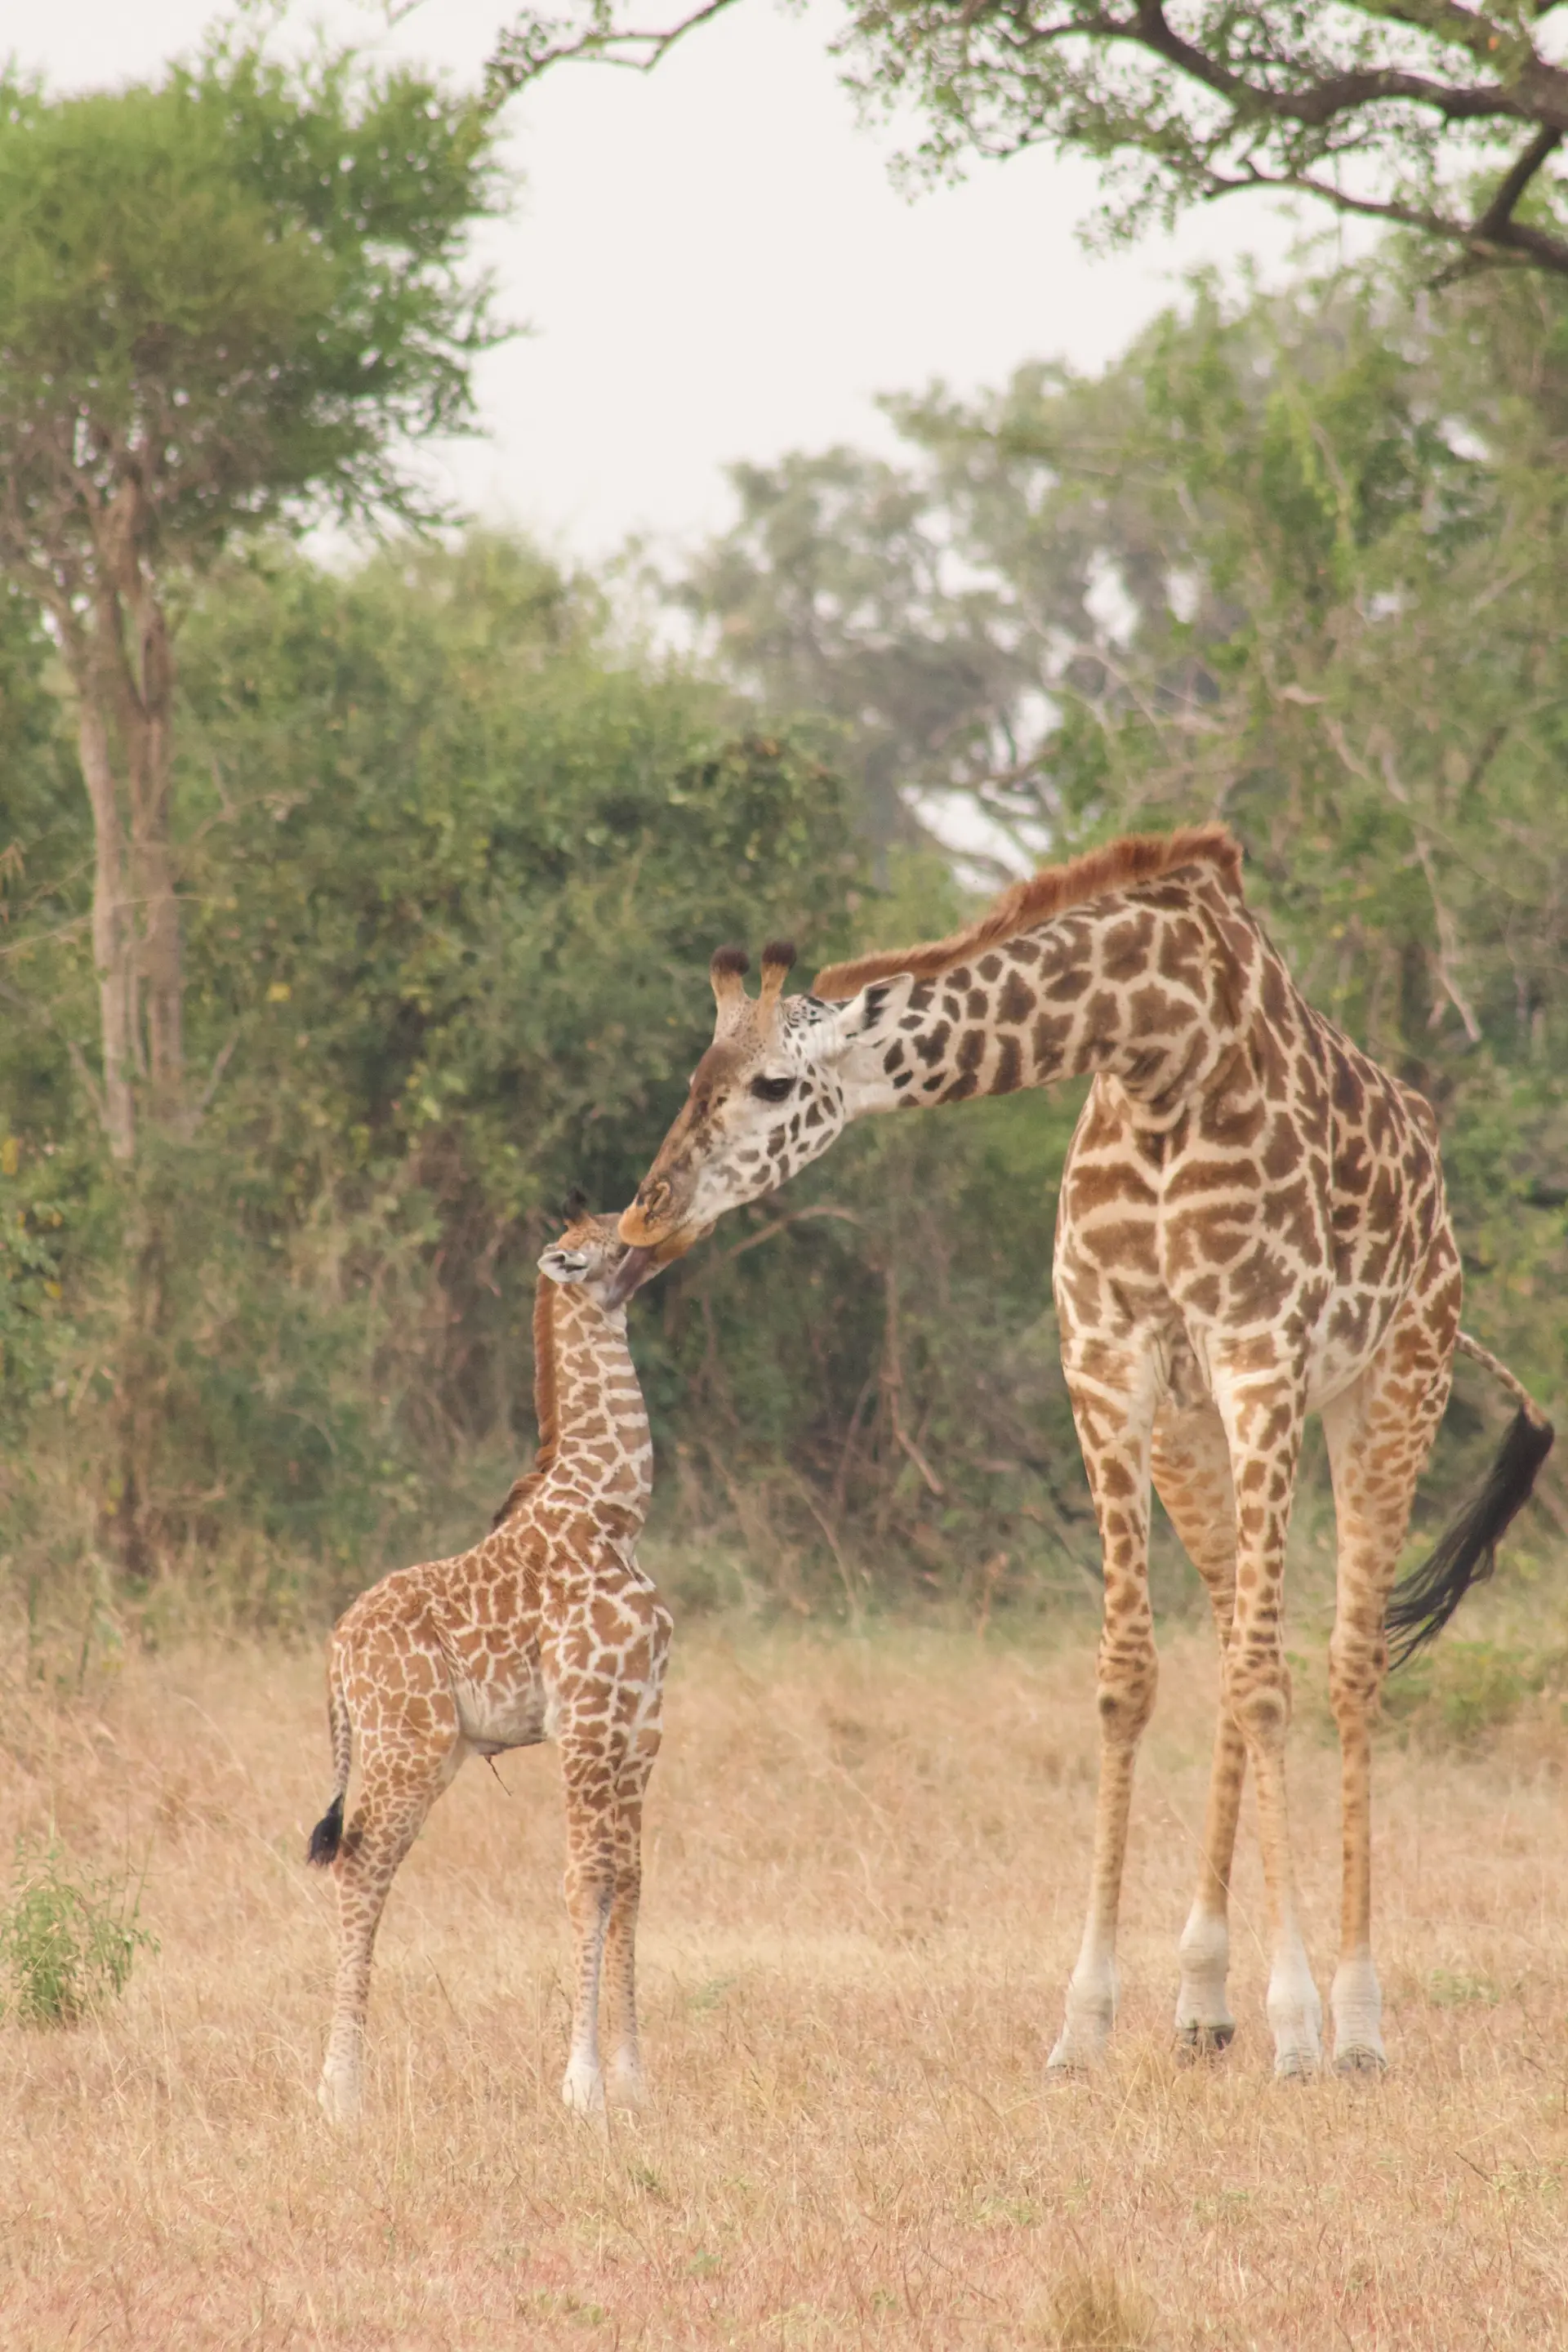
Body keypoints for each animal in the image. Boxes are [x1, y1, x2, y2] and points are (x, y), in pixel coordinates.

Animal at [305, 1204, 677, 2126]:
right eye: (613, 1236)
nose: (659, 1233)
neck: (614, 1509)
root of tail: (335, 1652)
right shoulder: (586, 1718)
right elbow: (587, 1882)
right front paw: (581, 2086)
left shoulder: (642, 1723)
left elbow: (631, 1885)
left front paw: (634, 2080)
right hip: (406, 1748)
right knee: (361, 1869)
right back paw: (341, 2092)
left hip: (425, 1753)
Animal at [606, 827, 1551, 2078]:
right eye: (692, 1075)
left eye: (769, 1084)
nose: (644, 1215)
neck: (1158, 1045)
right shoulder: (1106, 1363)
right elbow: (1129, 1677)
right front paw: (1086, 2022)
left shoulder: (1259, 1354)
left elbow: (1269, 1683)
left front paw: (1298, 2024)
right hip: (1195, 1438)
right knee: (1235, 1639)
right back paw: (1202, 2003)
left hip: (1392, 1387)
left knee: (1346, 1664)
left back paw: (1355, 2022)